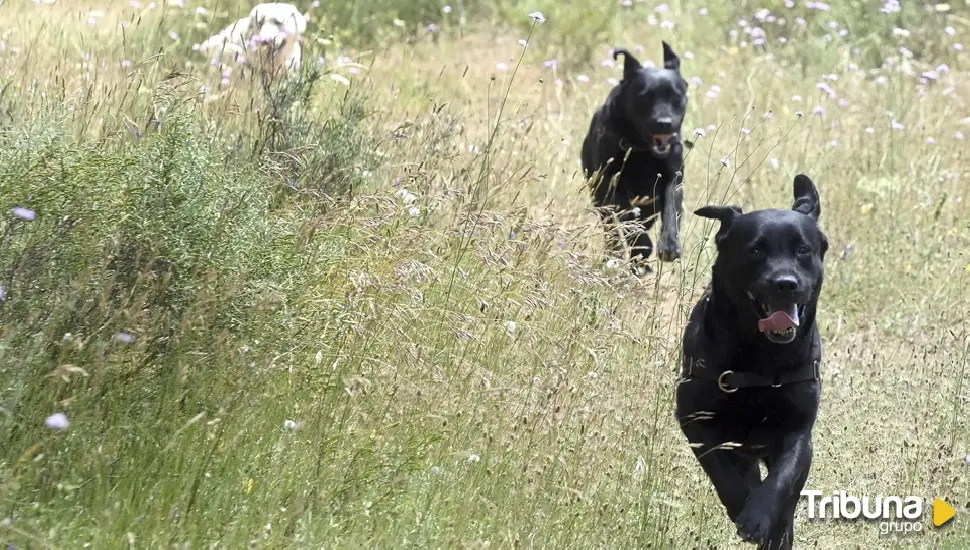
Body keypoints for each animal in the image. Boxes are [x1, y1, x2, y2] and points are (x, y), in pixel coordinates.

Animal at [580, 42, 684, 274]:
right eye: (645, 96)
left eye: (676, 96)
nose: (665, 123)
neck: (641, 149)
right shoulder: (610, 185)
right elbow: (627, 218)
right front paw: (642, 245)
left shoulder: (673, 180)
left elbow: (671, 211)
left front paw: (669, 245)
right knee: (613, 233)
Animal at [672, 176, 824, 550]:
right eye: (756, 250)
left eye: (803, 250)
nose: (785, 284)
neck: (761, 357)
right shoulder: (696, 422)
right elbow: (723, 473)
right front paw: (743, 506)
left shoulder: (798, 432)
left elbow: (783, 479)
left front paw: (761, 517)